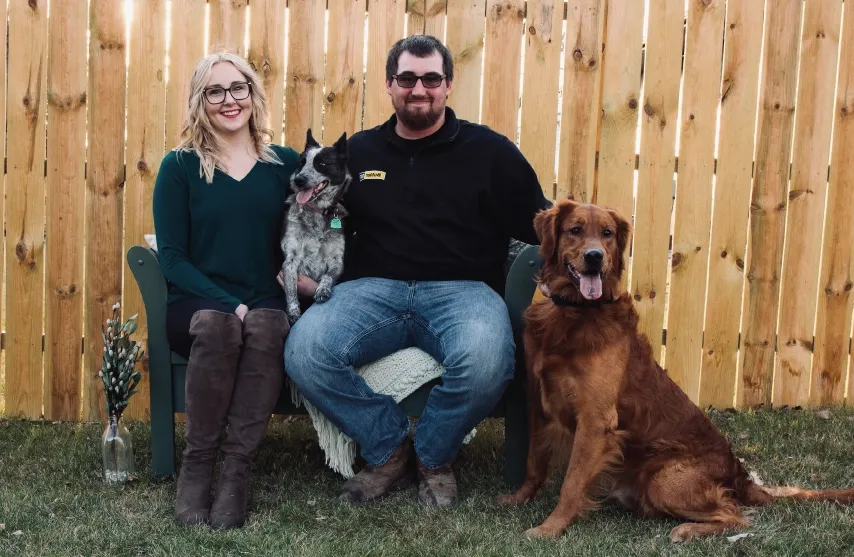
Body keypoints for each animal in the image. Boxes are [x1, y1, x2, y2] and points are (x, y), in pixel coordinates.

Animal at [280, 129, 350, 322]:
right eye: (301, 163)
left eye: (322, 164)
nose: (298, 180)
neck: (317, 212)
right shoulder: (290, 259)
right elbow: (291, 289)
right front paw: (294, 311)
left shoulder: (336, 261)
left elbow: (327, 276)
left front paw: (322, 290)